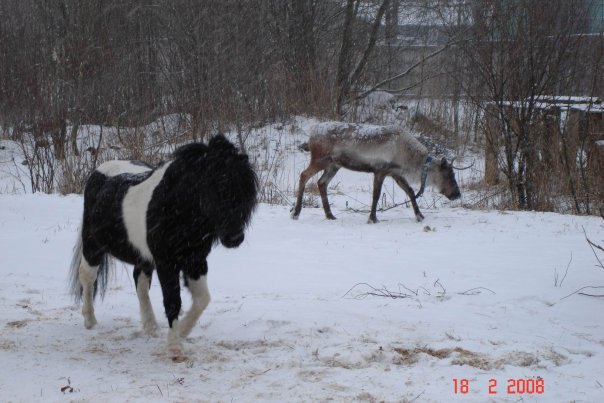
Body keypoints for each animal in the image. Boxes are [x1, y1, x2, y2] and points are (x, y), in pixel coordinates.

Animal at [69, 136, 258, 360]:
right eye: (217, 187)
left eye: (247, 193)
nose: (235, 238)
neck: (176, 208)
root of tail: (98, 173)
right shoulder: (167, 263)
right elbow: (173, 301)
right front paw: (175, 346)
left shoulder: (195, 261)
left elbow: (202, 299)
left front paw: (183, 331)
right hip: (93, 247)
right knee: (87, 278)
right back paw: (90, 321)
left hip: (142, 257)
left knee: (140, 283)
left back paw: (150, 327)